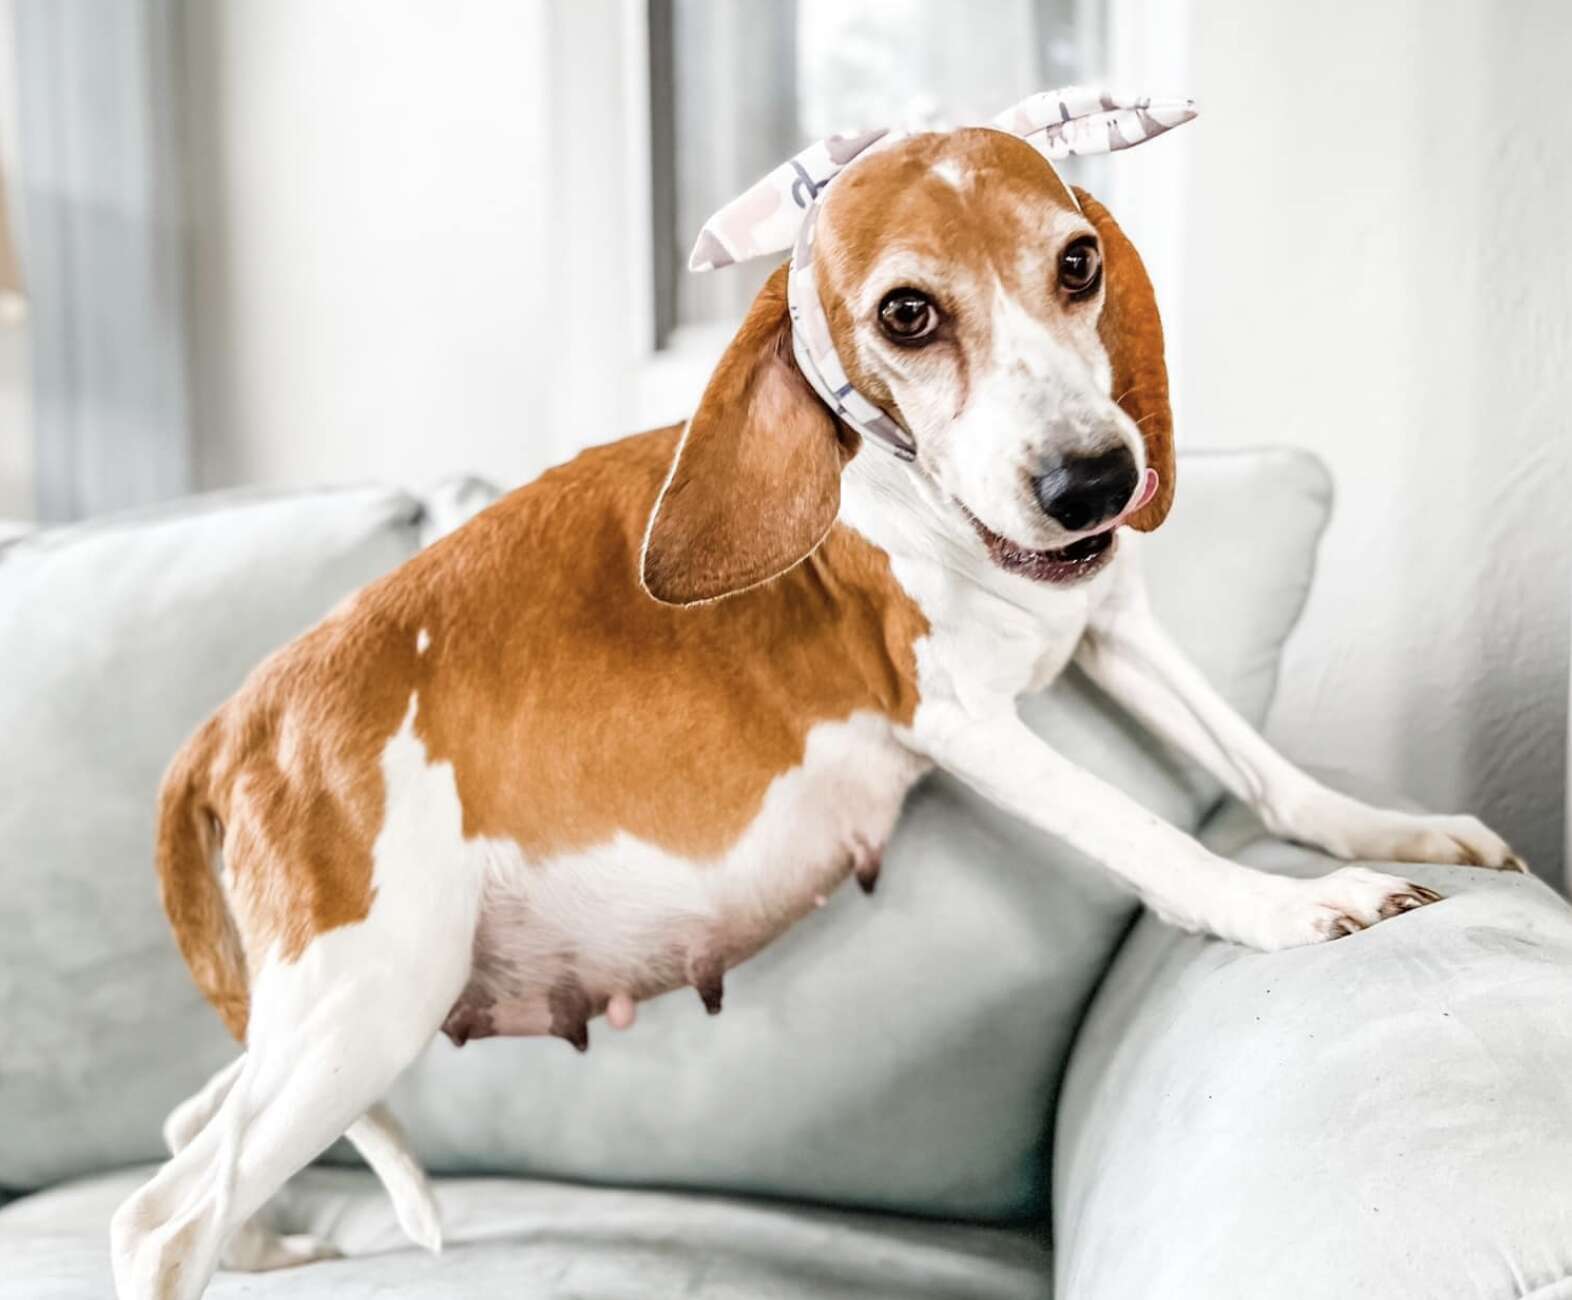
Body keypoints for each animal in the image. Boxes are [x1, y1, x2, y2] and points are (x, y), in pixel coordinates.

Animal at [110, 93, 1521, 1300]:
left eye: (1078, 262)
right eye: (908, 315)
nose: (1096, 483)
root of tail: (235, 717)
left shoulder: (1117, 631)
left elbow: (1267, 771)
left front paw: (1389, 833)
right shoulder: (963, 724)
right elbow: (1150, 834)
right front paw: (1280, 907)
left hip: (330, 1022)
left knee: (190, 1134)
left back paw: (269, 1242)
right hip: (371, 996)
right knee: (156, 1218)